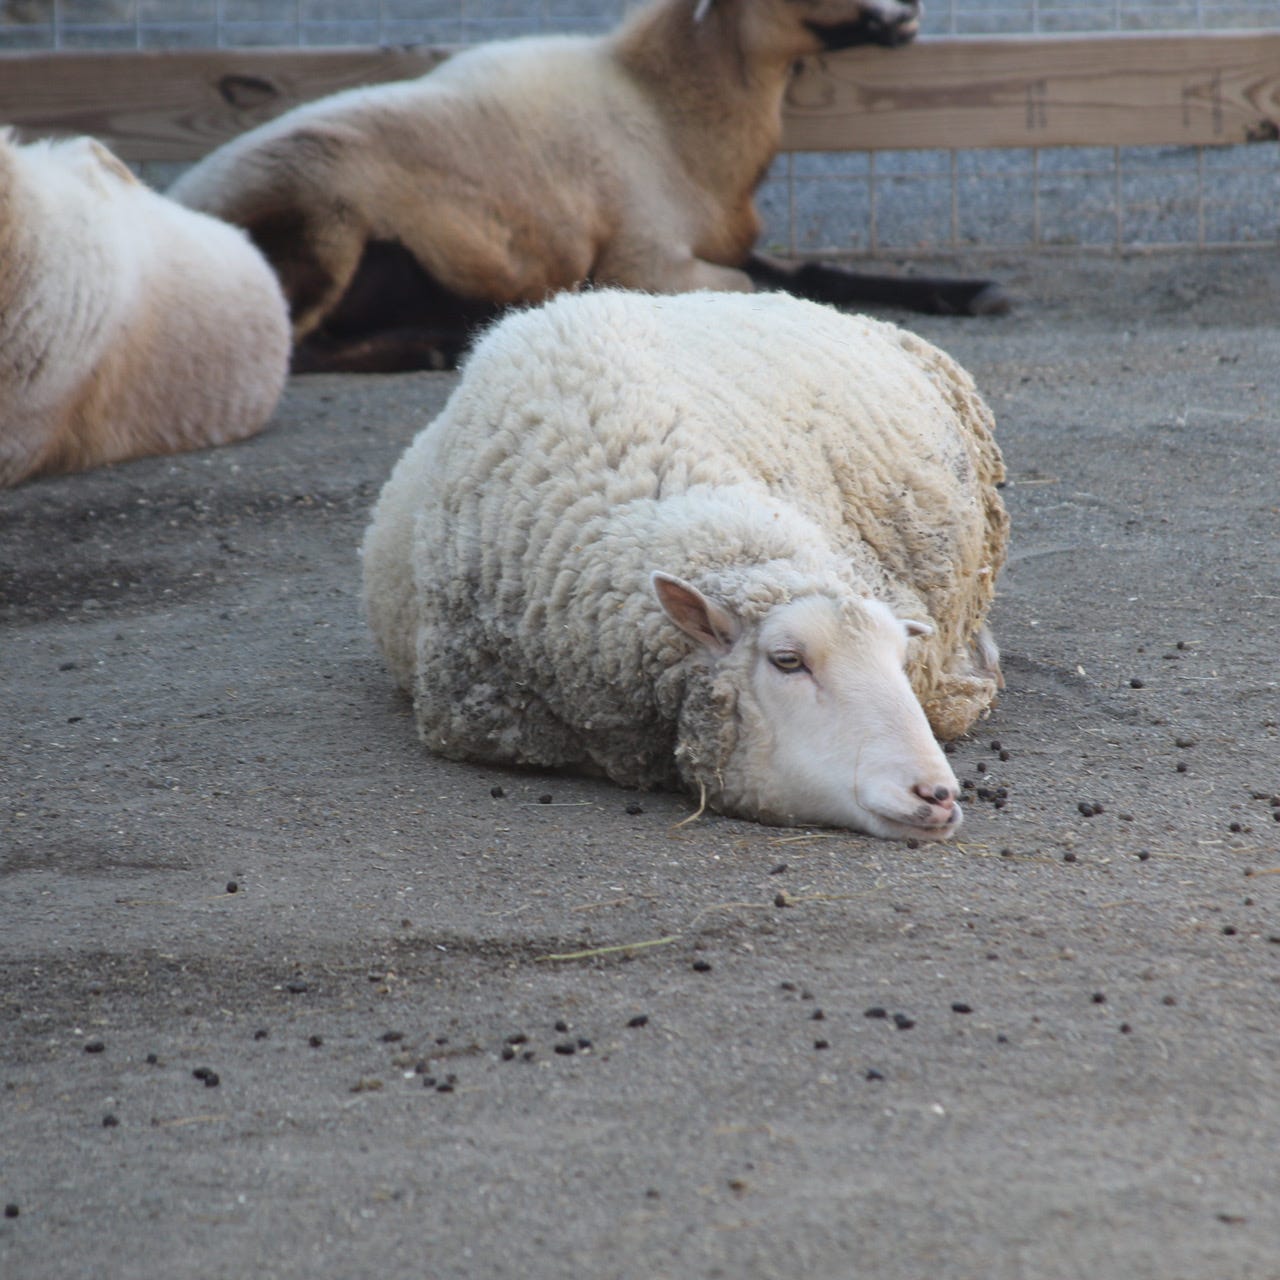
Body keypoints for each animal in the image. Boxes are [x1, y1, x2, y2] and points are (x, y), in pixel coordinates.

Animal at [168, 0, 1008, 375]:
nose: (908, 11)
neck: (669, 111)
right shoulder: (645, 261)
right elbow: (762, 287)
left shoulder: (715, 239)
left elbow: (817, 270)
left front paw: (973, 291)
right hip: (317, 218)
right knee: (290, 348)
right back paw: (443, 344)